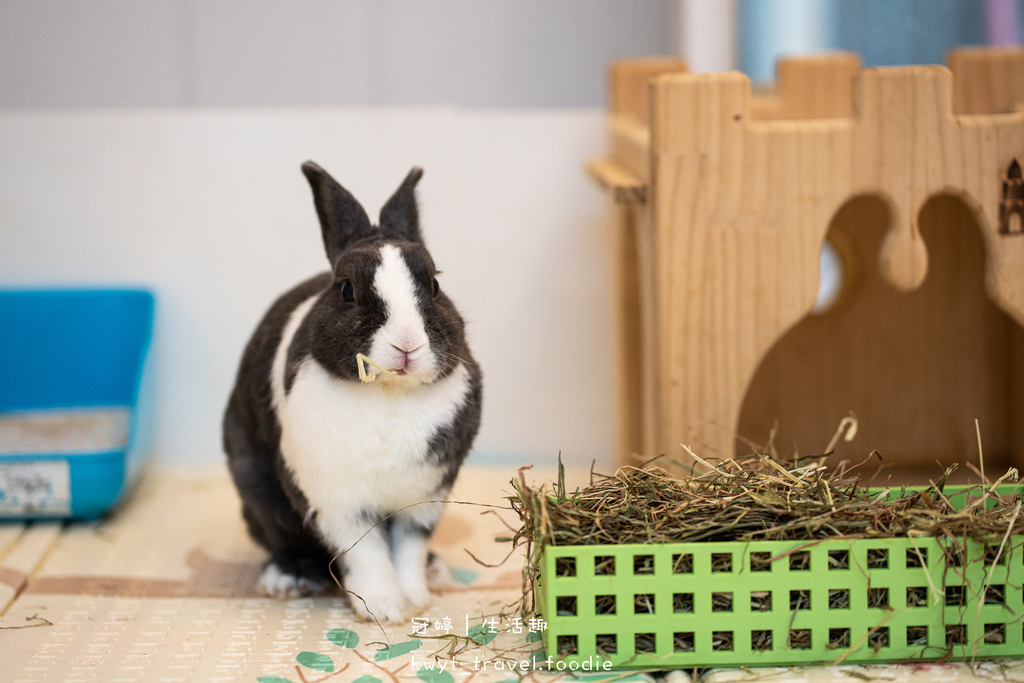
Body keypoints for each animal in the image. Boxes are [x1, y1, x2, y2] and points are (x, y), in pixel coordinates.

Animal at [223, 161, 483, 626]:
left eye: (435, 285)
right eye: (346, 289)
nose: (406, 345)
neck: (391, 394)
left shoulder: (423, 499)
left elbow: (408, 551)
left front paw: (415, 599)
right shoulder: (339, 502)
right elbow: (368, 555)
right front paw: (384, 609)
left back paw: (436, 570)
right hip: (255, 490)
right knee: (281, 540)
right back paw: (288, 579)